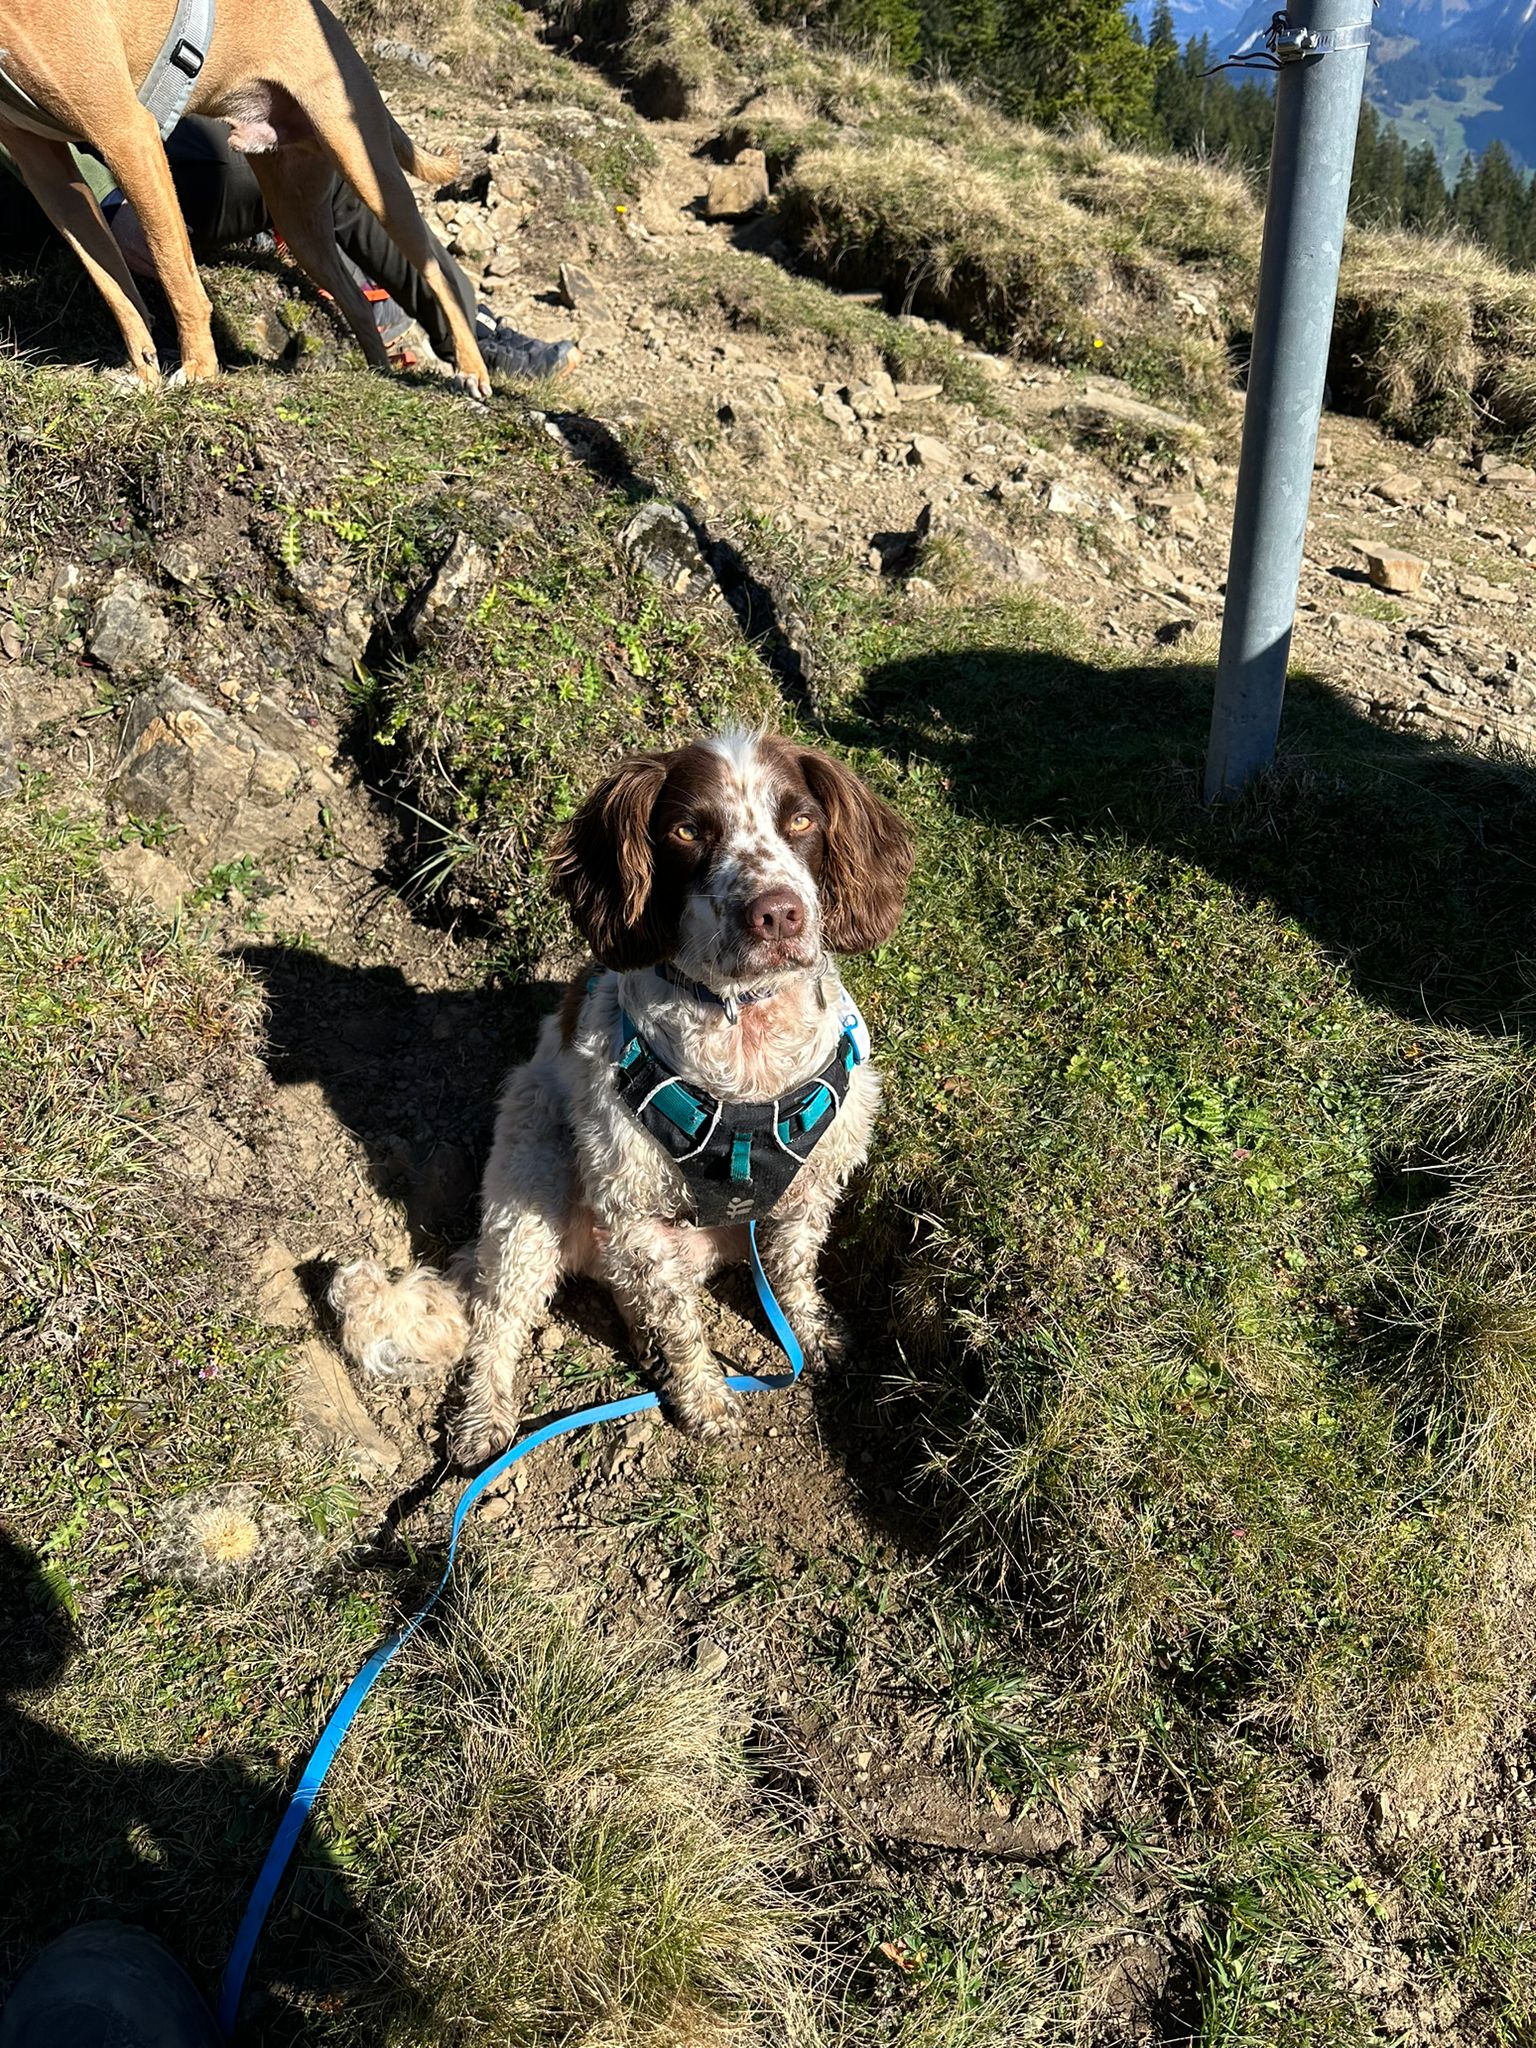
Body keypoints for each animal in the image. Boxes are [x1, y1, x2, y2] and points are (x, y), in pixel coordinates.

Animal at [0, 0, 489, 391]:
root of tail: (333, 24)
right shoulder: (46, 170)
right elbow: (114, 286)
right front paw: (144, 373)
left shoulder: (125, 132)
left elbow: (176, 274)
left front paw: (198, 369)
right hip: (297, 216)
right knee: (356, 301)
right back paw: (378, 374)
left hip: (368, 168)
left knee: (437, 271)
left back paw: (471, 369)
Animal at [333, 729, 913, 1466]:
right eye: (688, 830)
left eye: (803, 820)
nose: (778, 914)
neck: (743, 1036)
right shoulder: (635, 1210)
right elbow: (684, 1329)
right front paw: (705, 1399)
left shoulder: (812, 1182)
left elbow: (793, 1271)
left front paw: (810, 1332)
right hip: (532, 1190)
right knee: (501, 1315)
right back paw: (484, 1416)